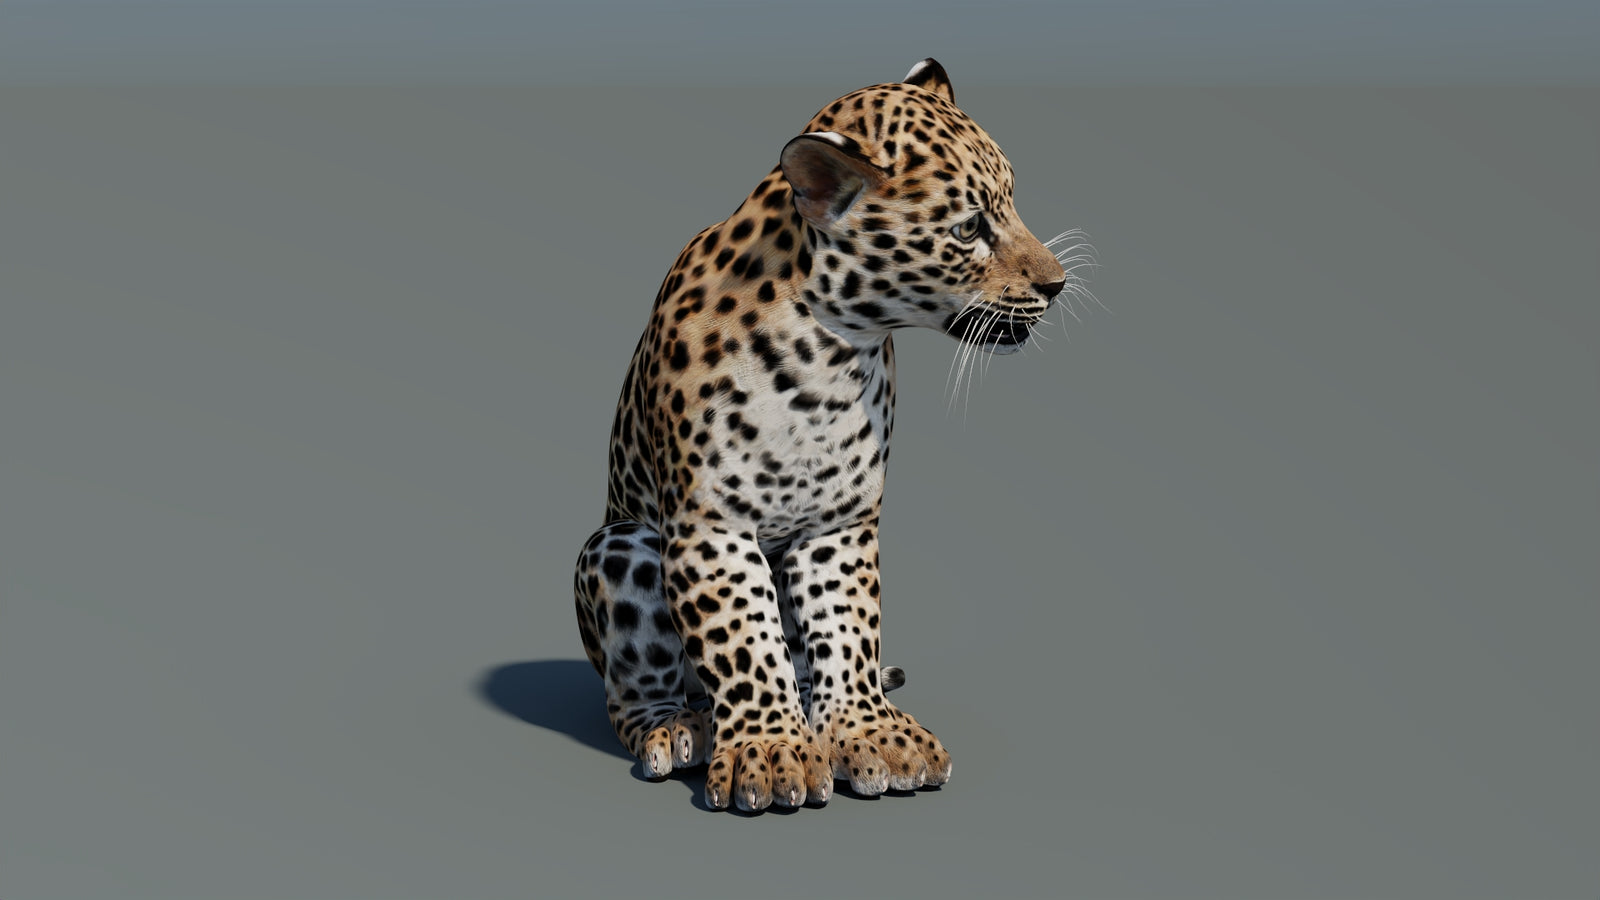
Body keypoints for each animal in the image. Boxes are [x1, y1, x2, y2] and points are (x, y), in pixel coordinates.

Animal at [573, 58, 1091, 812]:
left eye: (1013, 203)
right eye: (969, 229)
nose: (1057, 285)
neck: (828, 355)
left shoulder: (839, 522)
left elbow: (846, 628)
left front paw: (869, 735)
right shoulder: (712, 526)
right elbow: (743, 637)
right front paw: (767, 750)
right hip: (617, 546)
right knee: (638, 691)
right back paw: (676, 726)